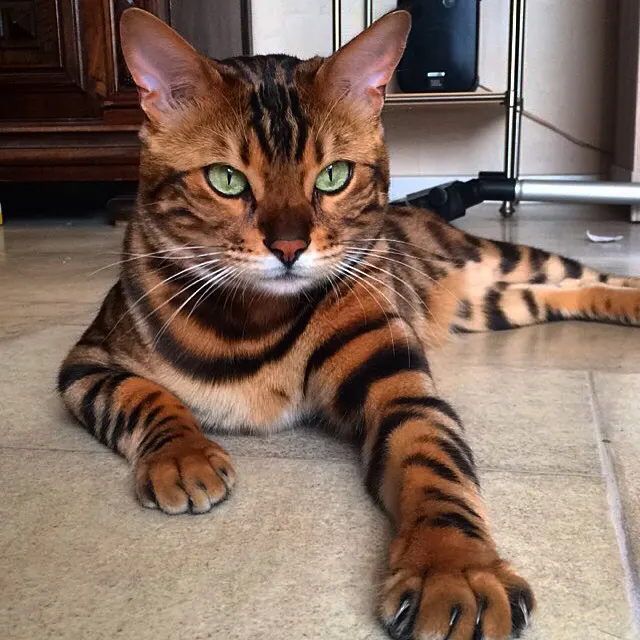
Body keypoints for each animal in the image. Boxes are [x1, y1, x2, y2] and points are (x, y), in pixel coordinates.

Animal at [58, 8, 640, 640]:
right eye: (226, 179)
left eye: (333, 176)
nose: (289, 246)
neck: (252, 320)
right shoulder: (86, 361)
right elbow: (142, 395)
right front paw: (182, 455)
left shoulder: (397, 381)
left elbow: (433, 457)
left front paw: (455, 569)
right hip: (501, 304)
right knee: (566, 292)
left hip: (503, 259)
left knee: (589, 274)